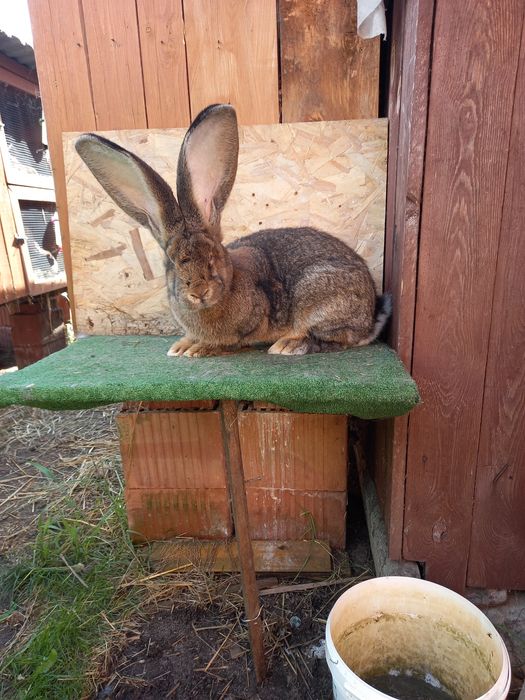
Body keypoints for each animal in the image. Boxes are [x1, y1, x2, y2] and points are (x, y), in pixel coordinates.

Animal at [74, 102, 388, 360]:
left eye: (212, 255)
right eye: (170, 263)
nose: (199, 292)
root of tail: (370, 314)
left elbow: (230, 342)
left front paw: (197, 349)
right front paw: (182, 346)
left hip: (318, 298)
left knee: (338, 338)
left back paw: (290, 345)